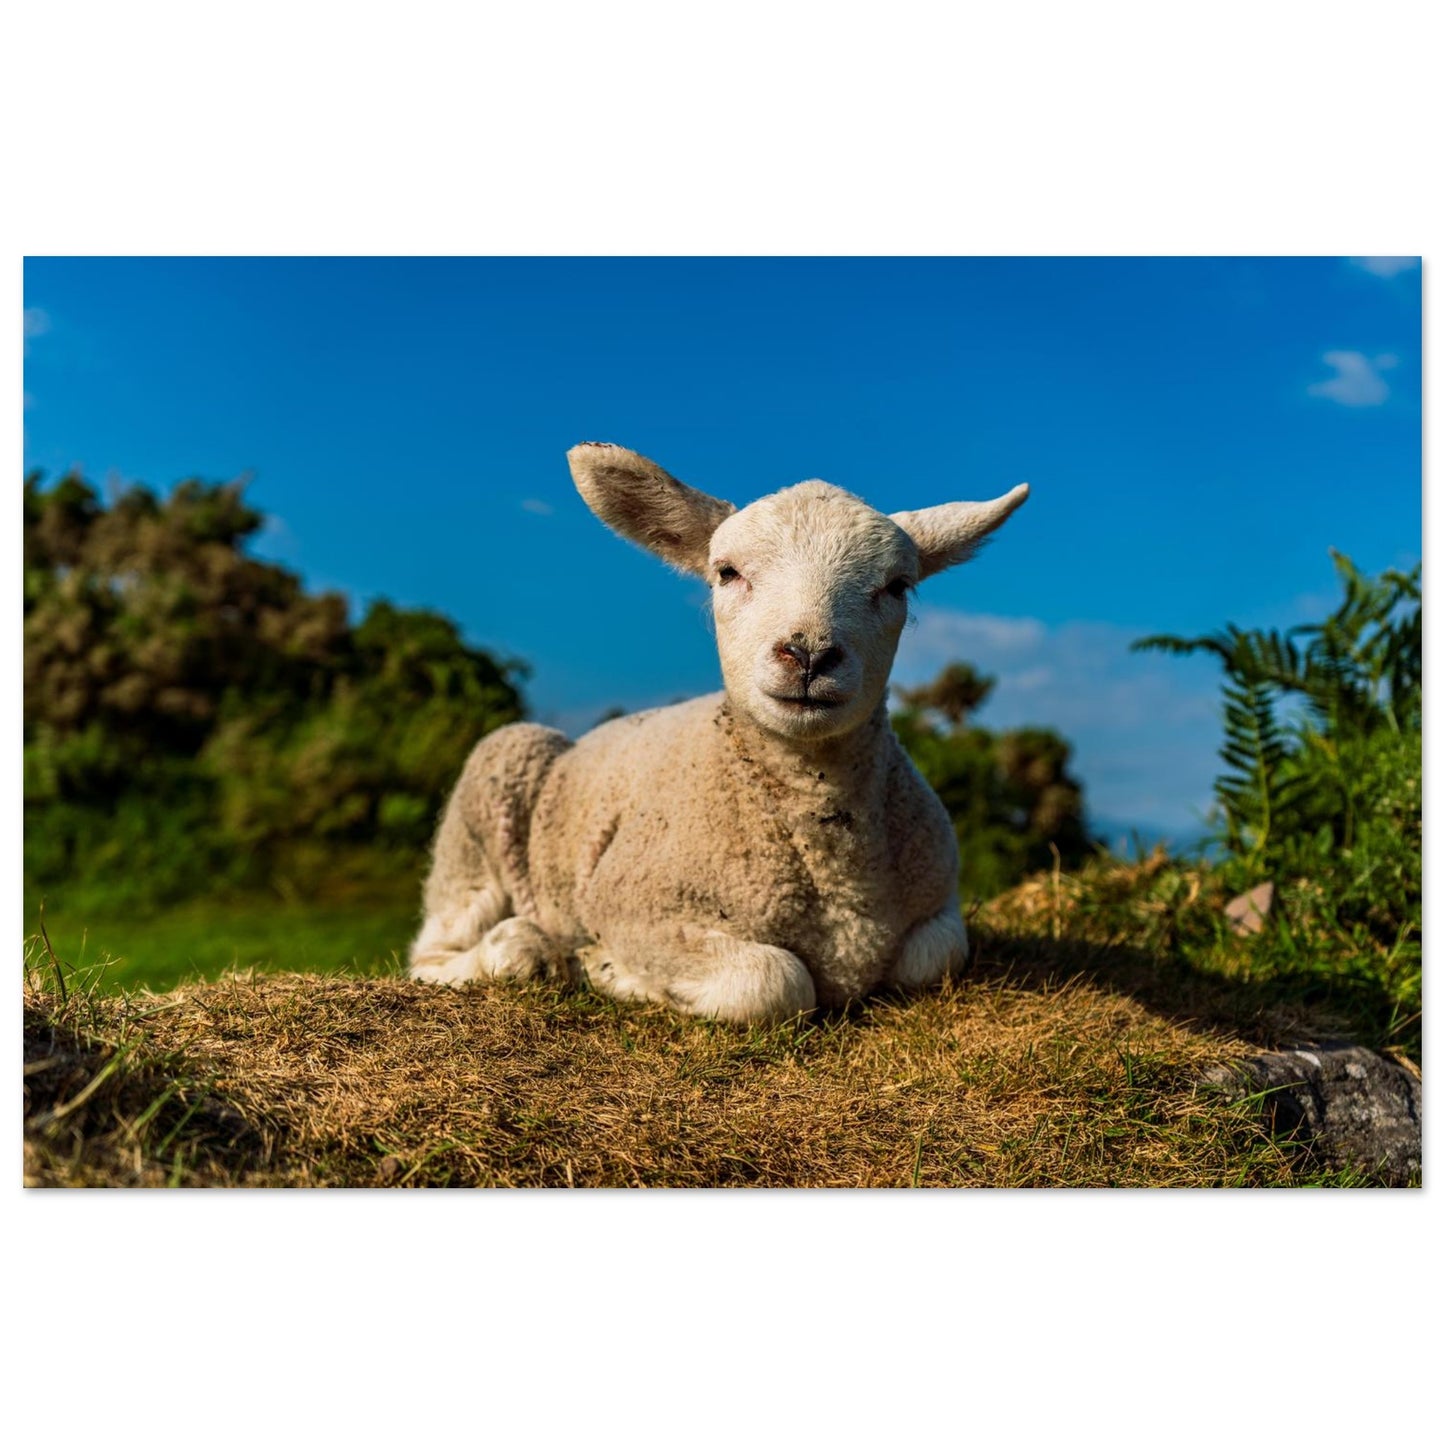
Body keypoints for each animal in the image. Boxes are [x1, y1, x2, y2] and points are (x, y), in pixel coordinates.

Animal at [408, 443, 1029, 1022]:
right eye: (727, 572)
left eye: (898, 586)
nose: (808, 653)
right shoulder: (632, 907)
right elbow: (774, 982)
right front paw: (607, 969)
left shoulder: (939, 904)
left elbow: (934, 958)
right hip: (493, 787)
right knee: (432, 954)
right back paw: (523, 950)